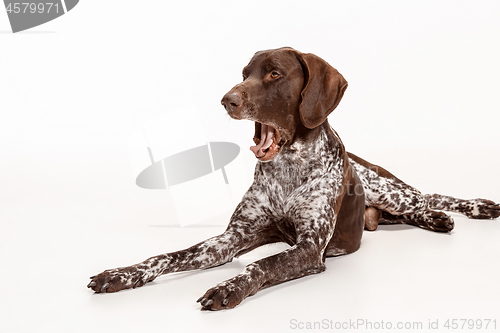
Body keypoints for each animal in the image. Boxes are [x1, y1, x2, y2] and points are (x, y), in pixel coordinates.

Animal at [88, 46, 498, 308]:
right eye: (244, 75)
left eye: (274, 74)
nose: (227, 100)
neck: (288, 169)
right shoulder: (230, 239)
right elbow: (167, 255)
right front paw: (121, 273)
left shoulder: (309, 247)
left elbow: (261, 264)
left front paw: (229, 287)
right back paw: (437, 220)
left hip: (390, 190)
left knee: (430, 195)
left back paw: (470, 208)